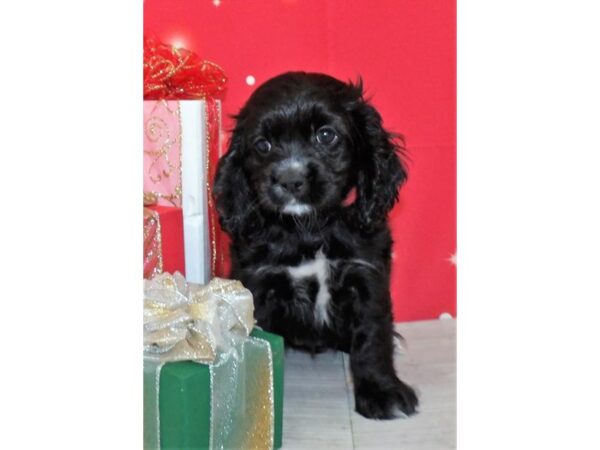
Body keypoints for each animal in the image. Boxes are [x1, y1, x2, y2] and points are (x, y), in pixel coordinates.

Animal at [214, 72, 418, 420]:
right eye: (263, 145)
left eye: (326, 135)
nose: (290, 179)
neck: (310, 229)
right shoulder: (258, 284)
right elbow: (258, 342)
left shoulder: (367, 278)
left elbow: (372, 337)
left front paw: (381, 392)